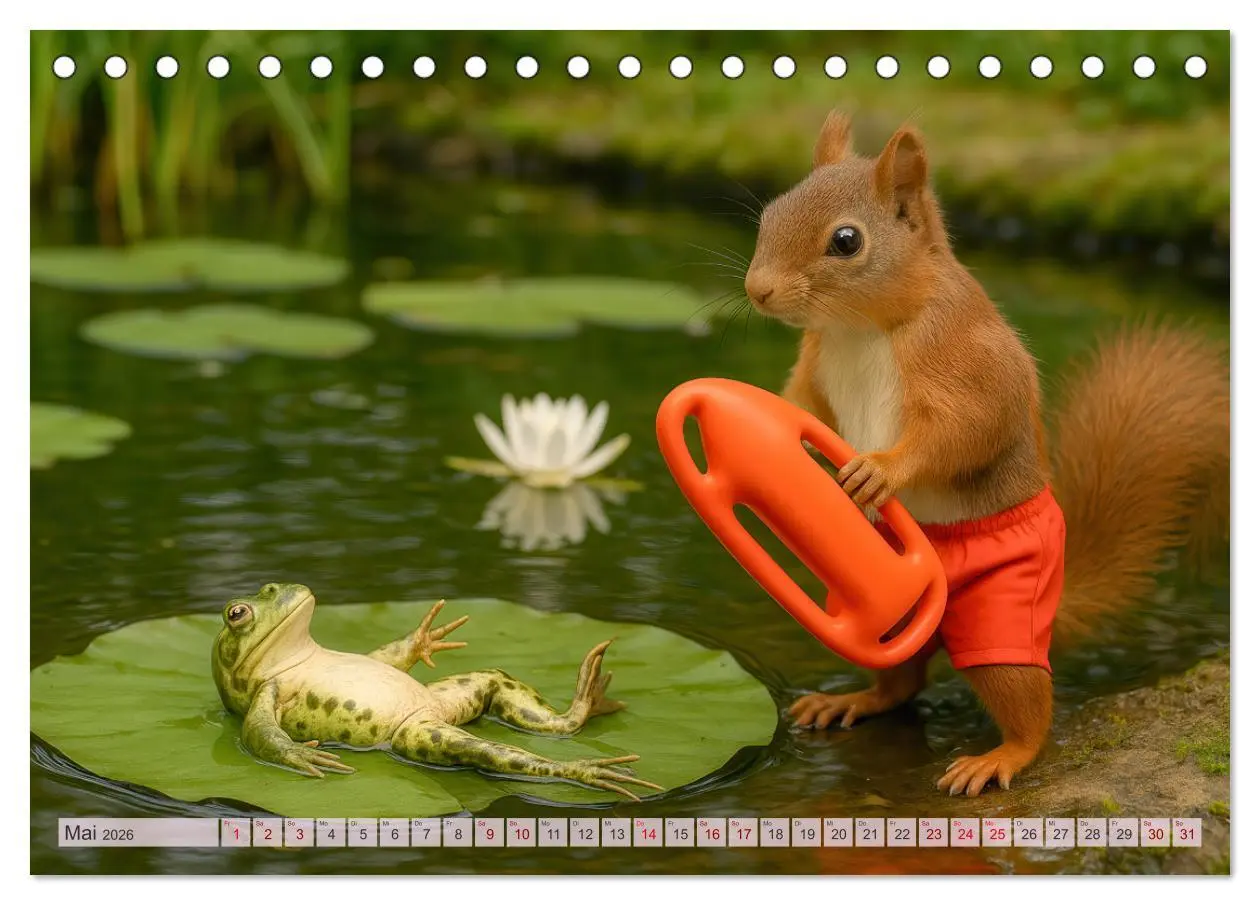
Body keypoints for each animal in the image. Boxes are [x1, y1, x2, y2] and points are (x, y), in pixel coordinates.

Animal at [742, 110, 1230, 797]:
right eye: (770, 213)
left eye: (846, 241)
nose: (757, 290)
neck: (859, 329)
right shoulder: (815, 370)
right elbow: (801, 406)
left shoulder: (963, 358)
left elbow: (967, 429)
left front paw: (879, 470)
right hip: (884, 606)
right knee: (902, 681)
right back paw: (853, 701)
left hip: (1004, 614)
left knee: (1027, 702)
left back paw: (1001, 757)